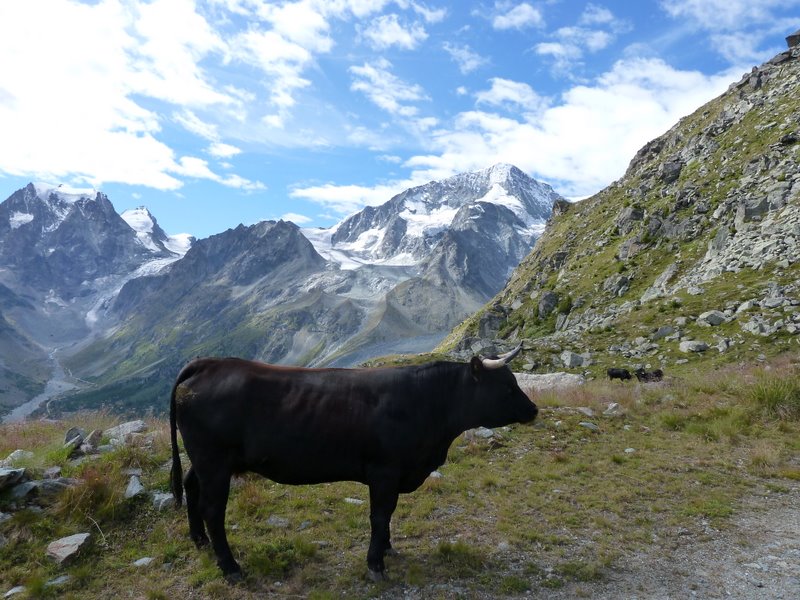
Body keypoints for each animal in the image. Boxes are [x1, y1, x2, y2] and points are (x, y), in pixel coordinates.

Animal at [167, 346, 536, 580]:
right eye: (506, 387)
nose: (533, 409)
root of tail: (208, 363)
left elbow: (388, 515)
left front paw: (387, 549)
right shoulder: (384, 471)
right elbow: (380, 515)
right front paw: (375, 564)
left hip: (205, 461)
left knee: (191, 487)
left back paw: (199, 541)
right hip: (214, 461)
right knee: (213, 510)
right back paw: (230, 568)